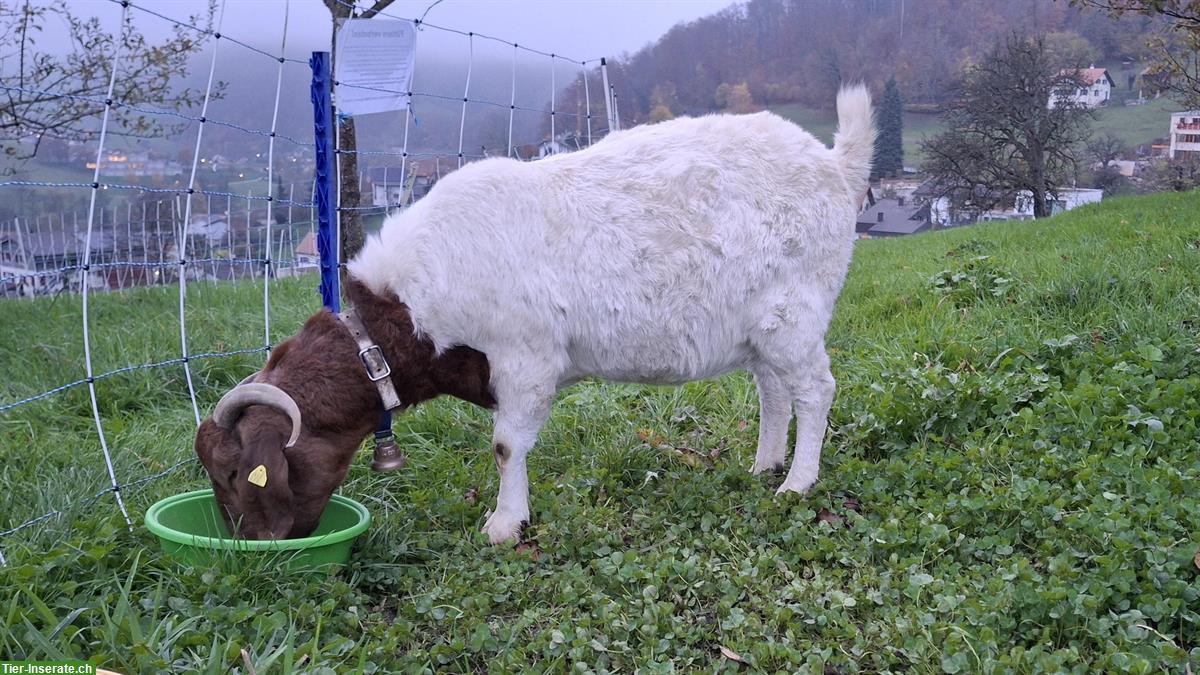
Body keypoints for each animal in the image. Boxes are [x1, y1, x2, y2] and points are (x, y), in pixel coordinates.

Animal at [194, 85, 873, 540]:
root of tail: (837, 166)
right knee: (773, 390)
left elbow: (504, 446)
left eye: (232, 473)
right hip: (761, 327)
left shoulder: (525, 359)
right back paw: (765, 464)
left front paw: (503, 524)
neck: (411, 304)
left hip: (794, 313)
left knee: (815, 390)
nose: (258, 544)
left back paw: (796, 484)